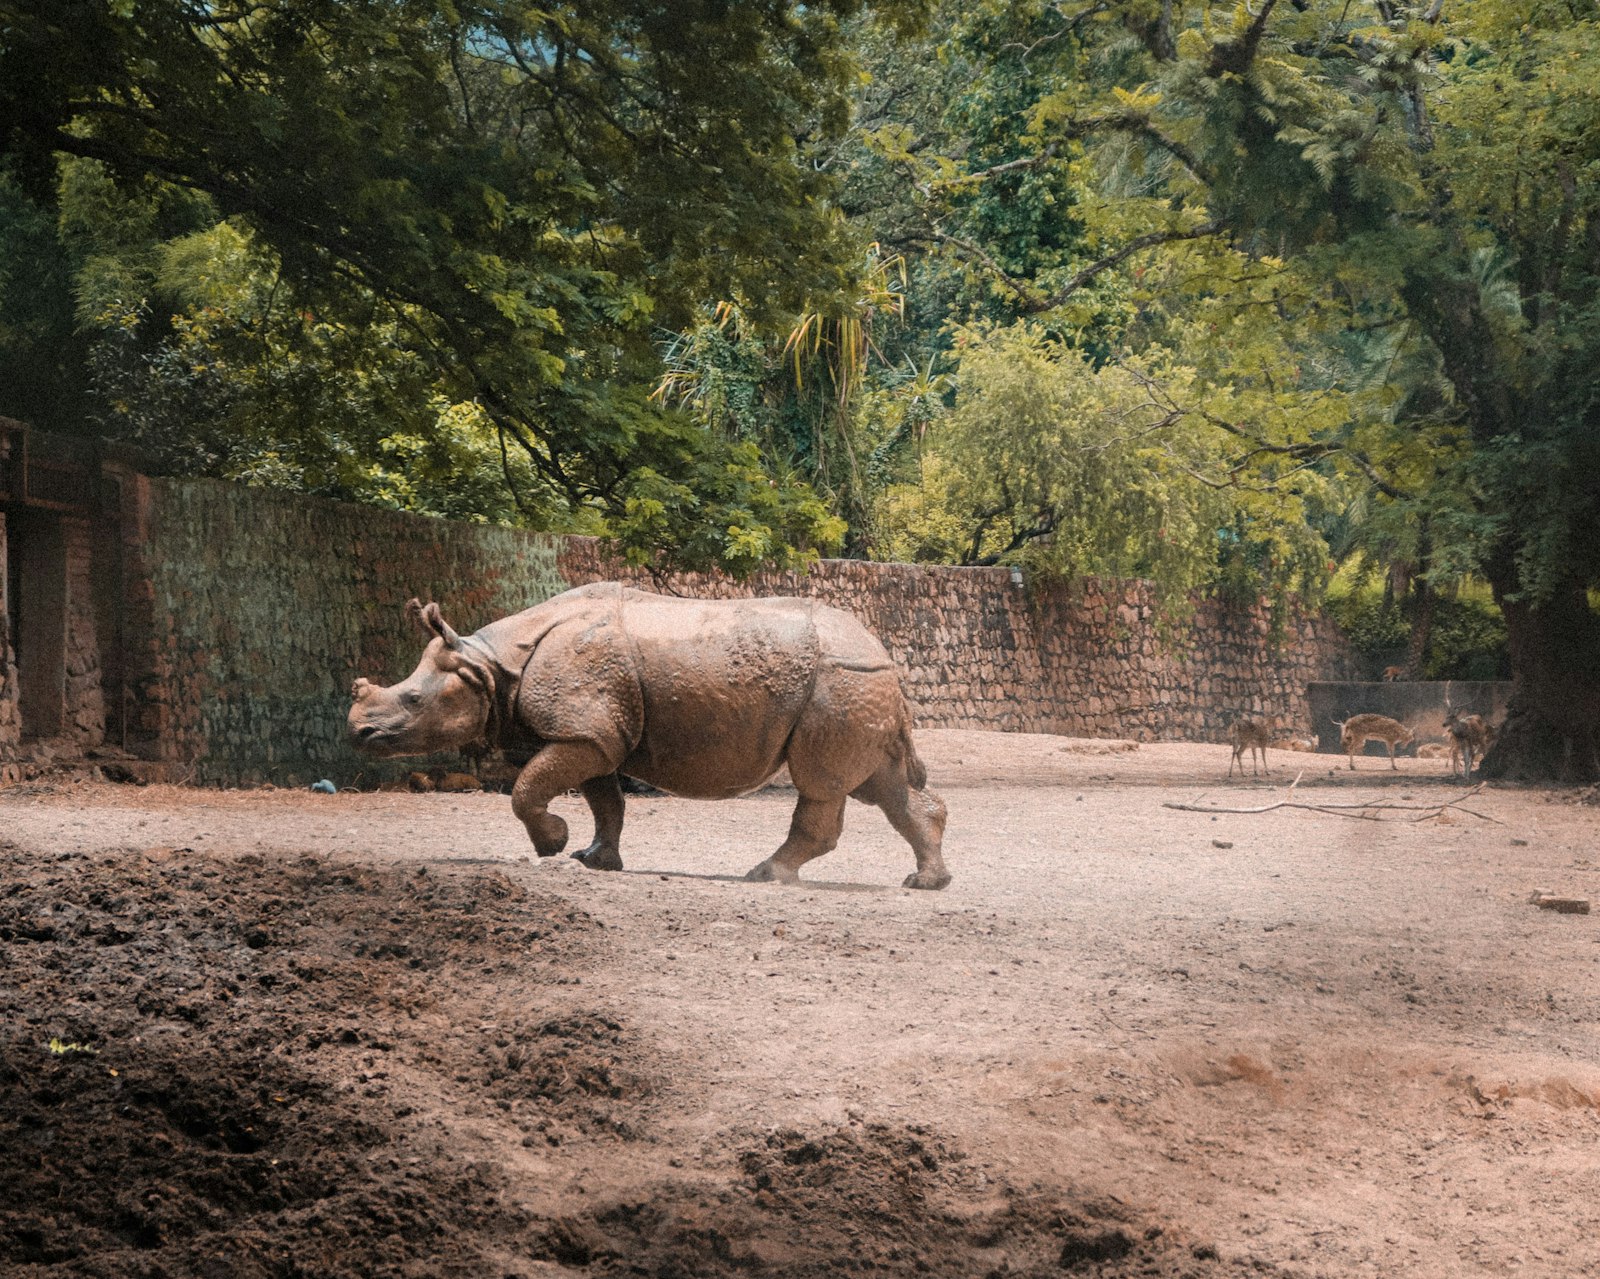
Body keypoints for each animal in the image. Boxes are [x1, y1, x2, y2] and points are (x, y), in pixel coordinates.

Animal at [347, 583, 951, 889]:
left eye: (412, 700)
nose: (358, 731)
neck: (491, 665)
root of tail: (884, 653)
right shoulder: (593, 733)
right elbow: (605, 801)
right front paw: (593, 859)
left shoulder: (584, 731)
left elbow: (528, 789)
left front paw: (552, 845)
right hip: (856, 682)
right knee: (880, 784)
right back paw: (926, 883)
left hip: (840, 681)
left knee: (822, 781)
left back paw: (764, 875)